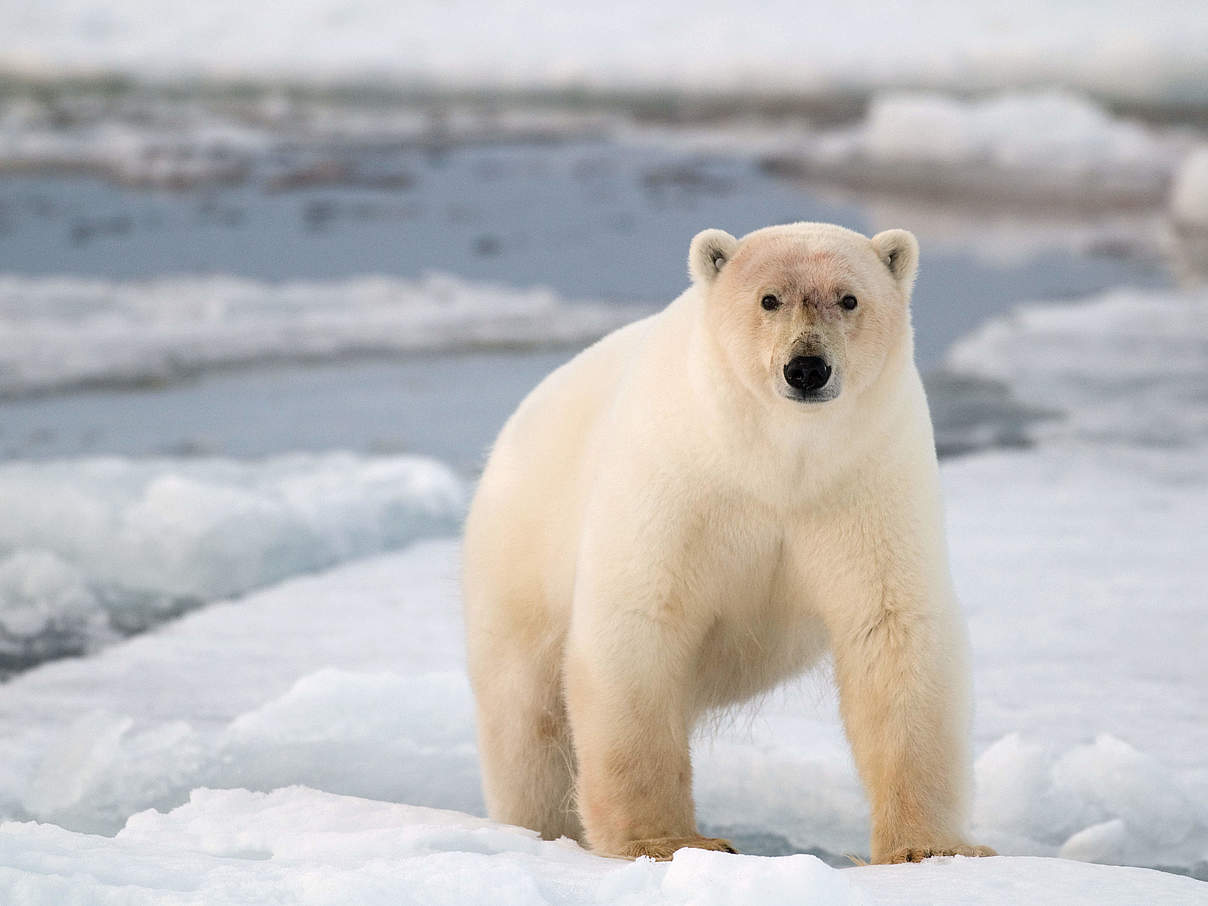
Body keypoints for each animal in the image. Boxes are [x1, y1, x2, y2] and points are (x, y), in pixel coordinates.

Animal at [459, 219, 990, 864]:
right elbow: (641, 626)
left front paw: (928, 850)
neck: (776, 461)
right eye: (769, 299)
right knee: (528, 723)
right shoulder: (678, 482)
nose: (806, 368)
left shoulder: (865, 481)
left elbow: (892, 629)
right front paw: (666, 841)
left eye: (848, 299)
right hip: (519, 560)